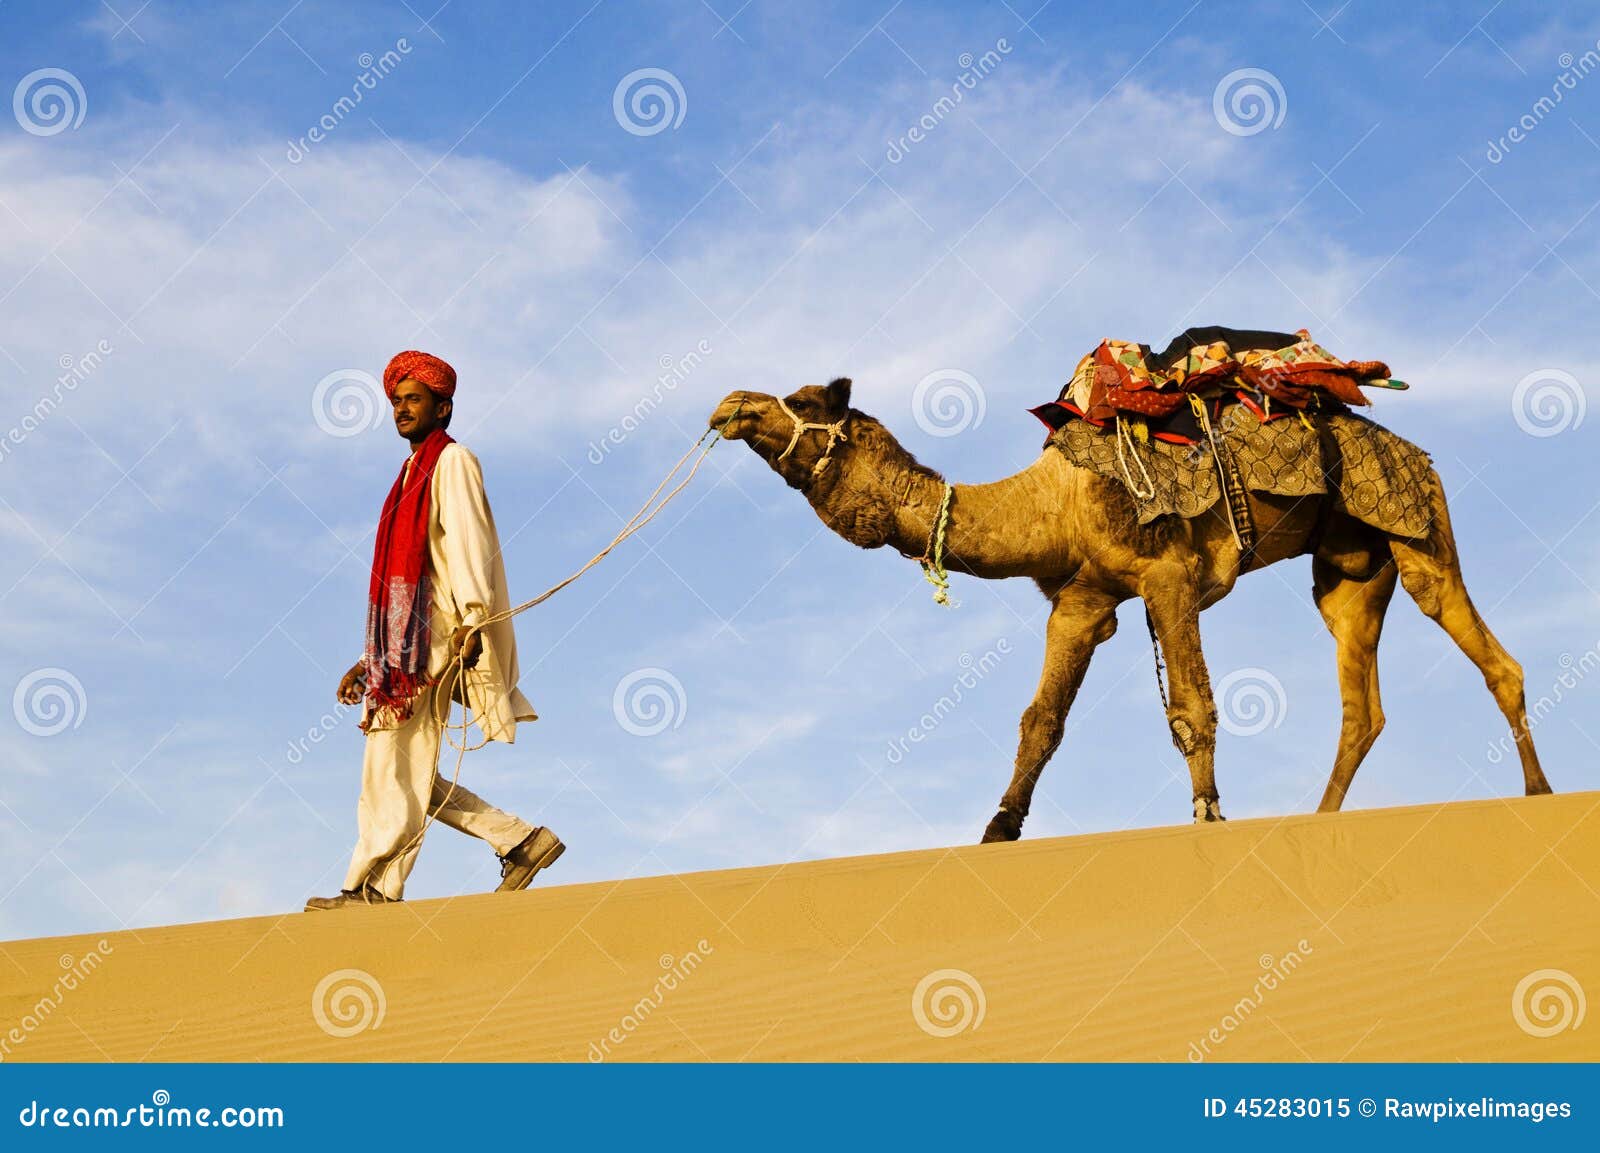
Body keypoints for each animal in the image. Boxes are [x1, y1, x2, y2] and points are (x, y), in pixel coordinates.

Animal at [710, 382, 1548, 837]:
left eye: (803, 402)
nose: (731, 405)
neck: (1058, 502)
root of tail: (1418, 454)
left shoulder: (1167, 574)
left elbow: (1193, 709)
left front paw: (1208, 816)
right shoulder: (1082, 601)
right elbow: (1040, 722)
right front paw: (996, 831)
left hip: (1418, 525)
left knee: (1492, 656)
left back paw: (1540, 795)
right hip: (1347, 570)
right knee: (1361, 705)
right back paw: (1322, 816)